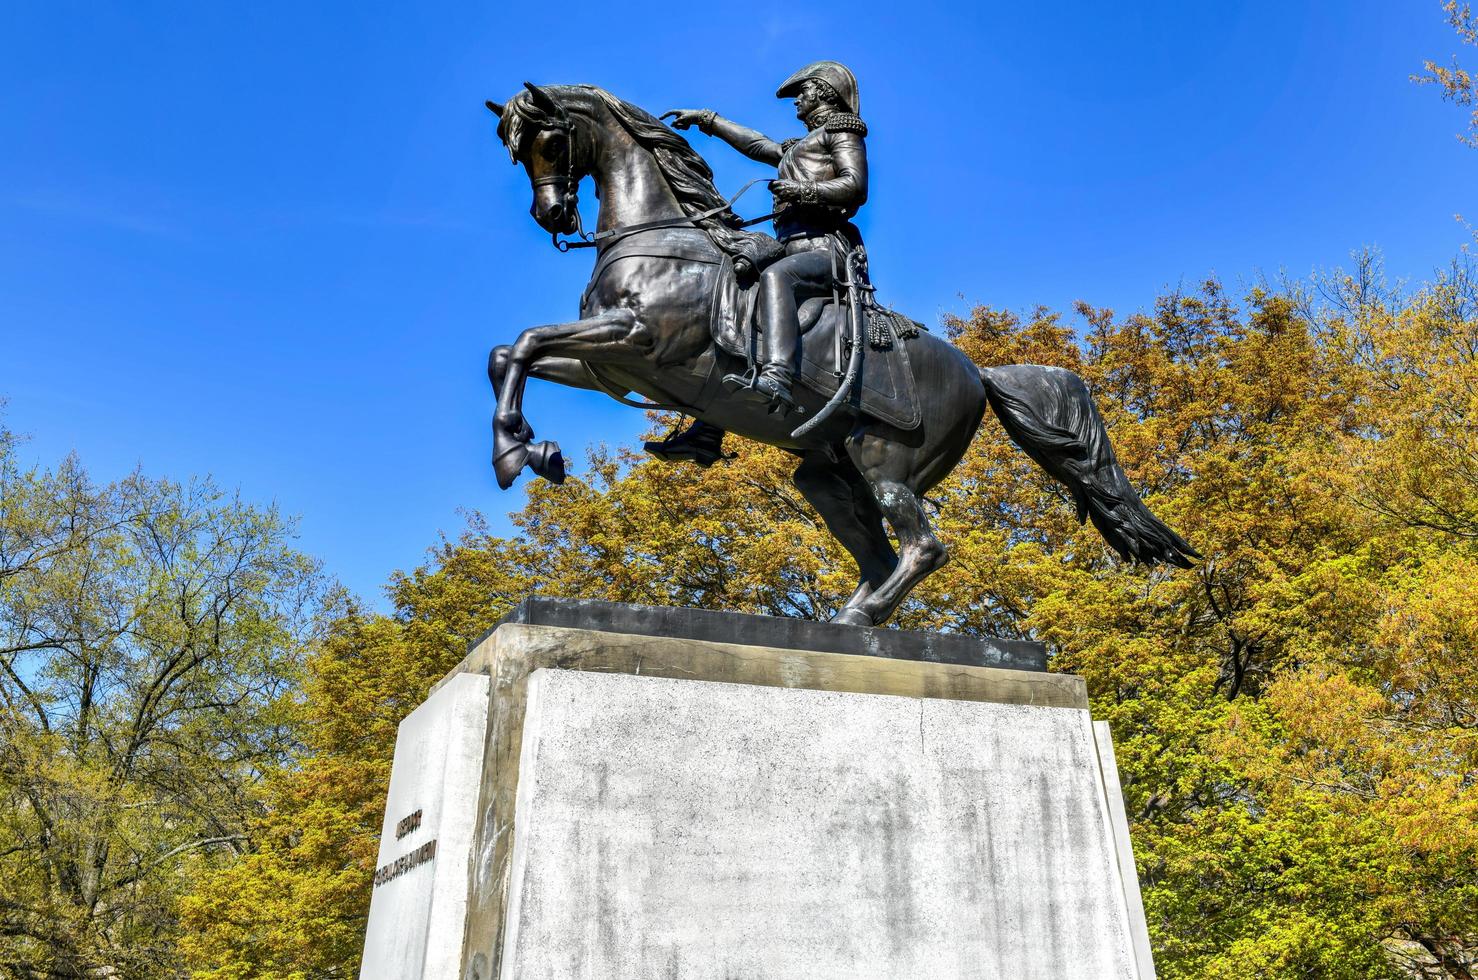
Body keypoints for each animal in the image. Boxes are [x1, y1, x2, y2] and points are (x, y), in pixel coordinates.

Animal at [484, 80, 1200, 623]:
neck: (663, 238)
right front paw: (528, 449)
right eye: (515, 152)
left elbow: (523, 342)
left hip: (887, 465)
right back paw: (850, 617)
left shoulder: (639, 340)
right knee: (878, 553)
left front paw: (517, 454)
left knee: (925, 548)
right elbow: (507, 353)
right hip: (830, 474)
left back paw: (863, 615)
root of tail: (976, 371)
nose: (552, 216)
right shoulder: (609, 364)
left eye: (551, 140)